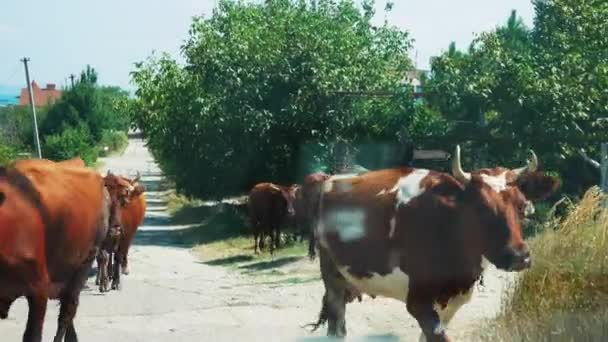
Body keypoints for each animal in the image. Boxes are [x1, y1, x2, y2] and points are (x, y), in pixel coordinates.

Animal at [308, 146, 560, 340]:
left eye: (521, 206)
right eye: (481, 208)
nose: (519, 256)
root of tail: (331, 178)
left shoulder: (453, 302)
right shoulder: (418, 302)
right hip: (331, 276)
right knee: (336, 322)